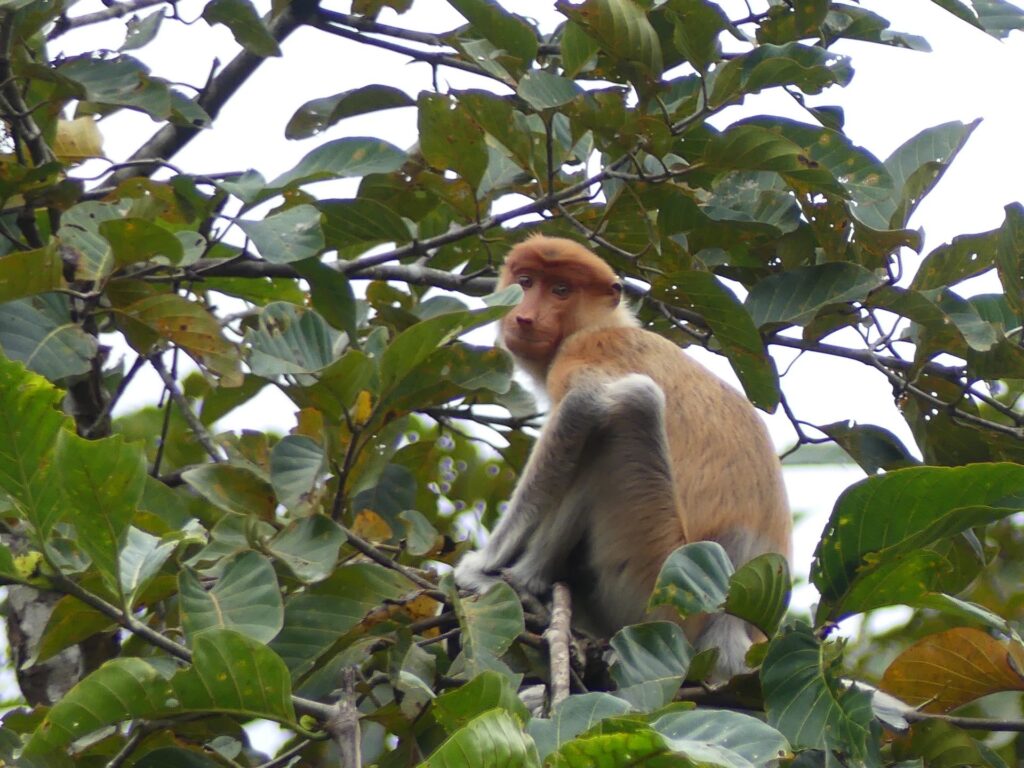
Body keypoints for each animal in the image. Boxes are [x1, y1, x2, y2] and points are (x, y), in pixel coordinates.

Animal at [456, 236, 790, 679]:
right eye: (525, 282)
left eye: (560, 290)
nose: (525, 317)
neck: (604, 323)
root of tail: (731, 625)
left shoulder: (583, 351)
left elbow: (582, 406)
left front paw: (479, 565)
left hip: (652, 578)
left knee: (630, 407)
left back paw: (525, 581)